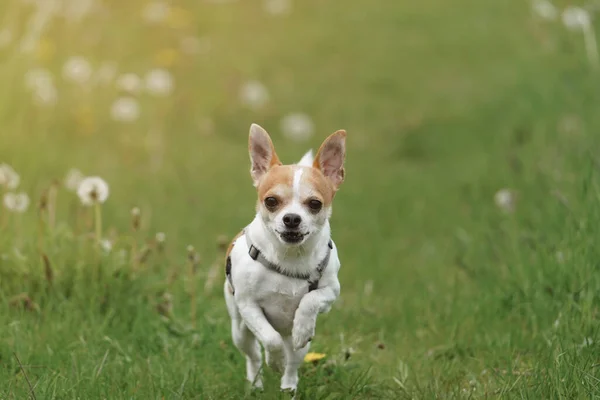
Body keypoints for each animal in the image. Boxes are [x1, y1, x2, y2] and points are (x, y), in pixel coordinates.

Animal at [224, 122, 346, 394]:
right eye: (271, 201)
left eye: (315, 204)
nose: (291, 218)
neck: (290, 257)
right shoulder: (248, 306)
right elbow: (271, 340)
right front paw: (275, 360)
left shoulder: (330, 293)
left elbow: (310, 300)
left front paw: (302, 326)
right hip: (240, 330)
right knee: (254, 355)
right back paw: (256, 383)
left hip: (303, 348)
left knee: (294, 360)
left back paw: (289, 386)